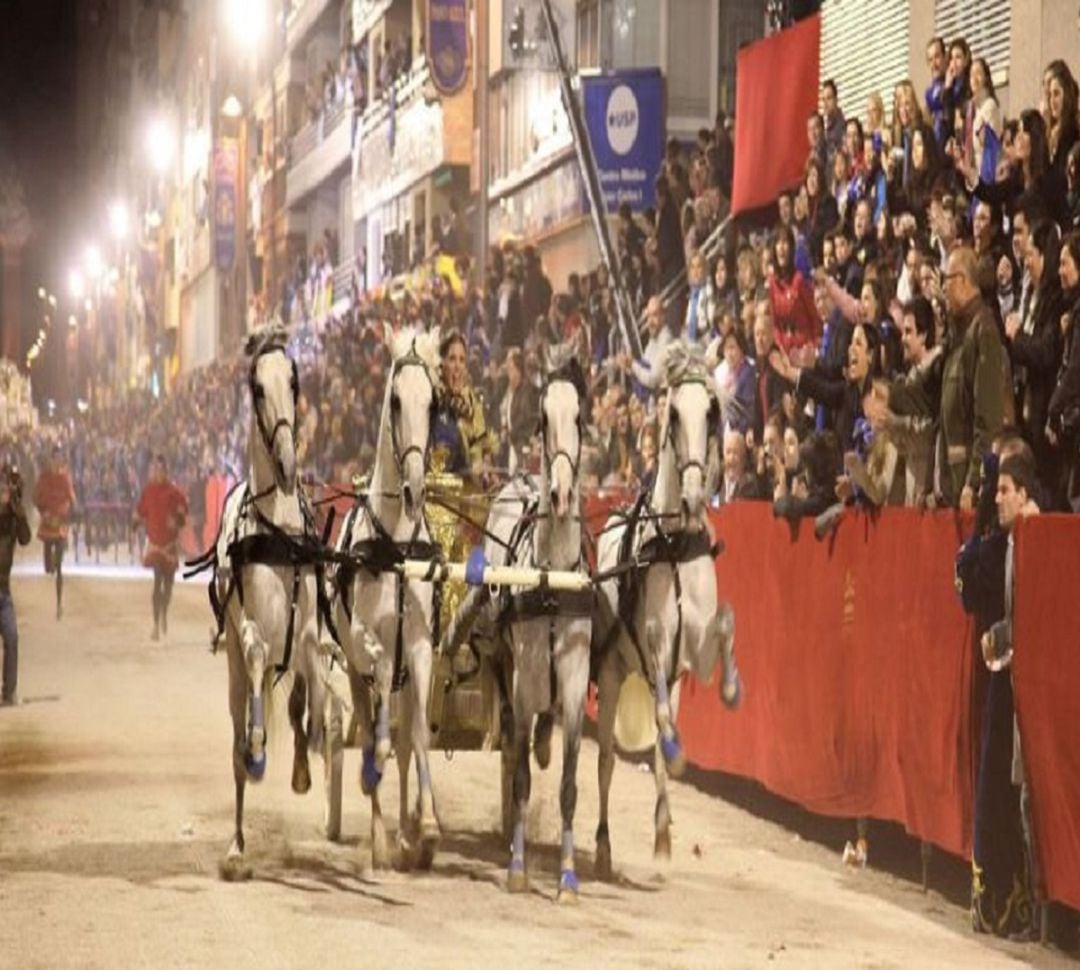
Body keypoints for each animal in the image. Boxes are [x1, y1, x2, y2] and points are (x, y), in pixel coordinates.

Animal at [442, 358, 591, 903]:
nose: (561, 494)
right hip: (502, 657)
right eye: (543, 420)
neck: (552, 577)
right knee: (510, 729)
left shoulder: (573, 678)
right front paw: (519, 867)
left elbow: (567, 783)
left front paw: (568, 877)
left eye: (580, 417)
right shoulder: (525, 674)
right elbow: (523, 777)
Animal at [596, 341, 738, 877]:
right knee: (606, 760)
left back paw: (661, 832)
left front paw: (733, 690)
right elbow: (658, 708)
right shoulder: (654, 646)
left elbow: (727, 622)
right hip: (612, 675)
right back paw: (602, 846)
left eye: (713, 411)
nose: (696, 497)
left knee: (656, 746)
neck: (674, 545)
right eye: (674, 413)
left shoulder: (695, 652)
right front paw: (680, 752)